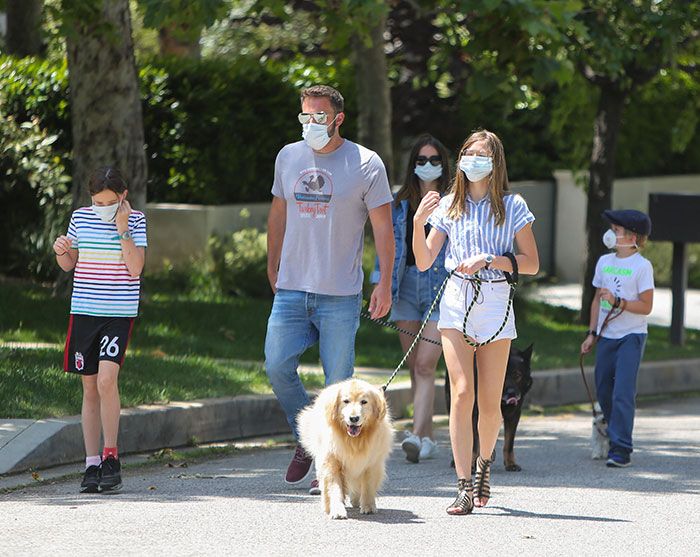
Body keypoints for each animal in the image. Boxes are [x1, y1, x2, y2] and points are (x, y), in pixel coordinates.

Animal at [296, 378, 394, 516]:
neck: (354, 441)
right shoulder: (332, 462)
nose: (354, 418)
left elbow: (368, 486)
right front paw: (337, 510)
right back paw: (327, 505)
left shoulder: (372, 463)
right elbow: (334, 488)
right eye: (346, 401)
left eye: (364, 402)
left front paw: (368, 507)